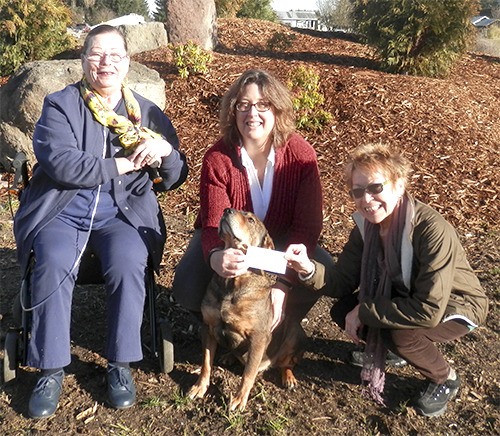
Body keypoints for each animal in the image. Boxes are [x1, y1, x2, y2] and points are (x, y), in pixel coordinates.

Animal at [188, 209, 304, 412]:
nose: (226, 210)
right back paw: (229, 356)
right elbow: (206, 363)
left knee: (287, 362)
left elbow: (248, 374)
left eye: (250, 220)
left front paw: (239, 399)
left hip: (293, 333)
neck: (232, 284)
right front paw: (199, 387)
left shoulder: (258, 337)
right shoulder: (208, 327)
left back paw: (289, 377)